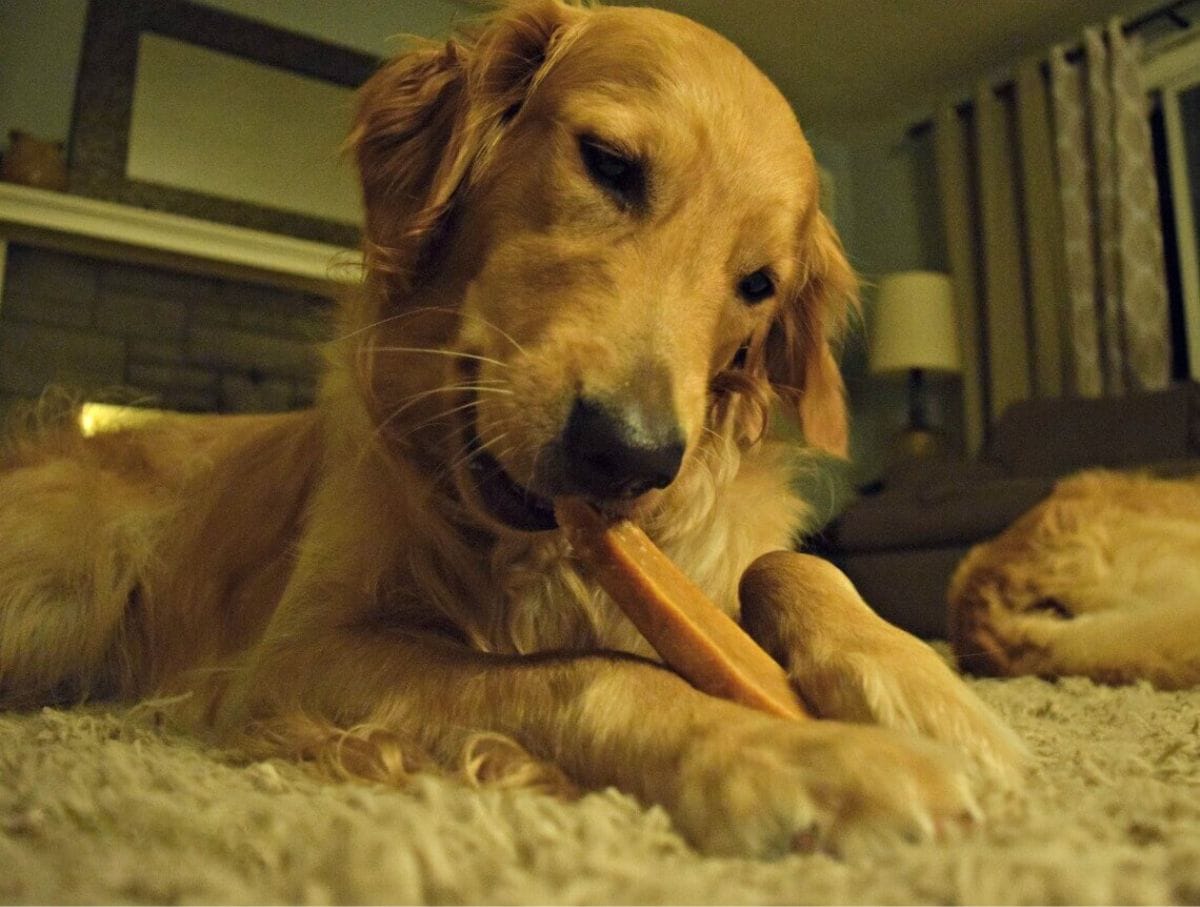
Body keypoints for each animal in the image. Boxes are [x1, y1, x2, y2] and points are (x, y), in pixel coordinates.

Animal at [4, 0, 1027, 854]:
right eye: (609, 164)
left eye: (759, 283)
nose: (629, 454)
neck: (531, 555)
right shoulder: (301, 649)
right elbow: (584, 670)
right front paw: (799, 755)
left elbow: (787, 563)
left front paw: (927, 695)